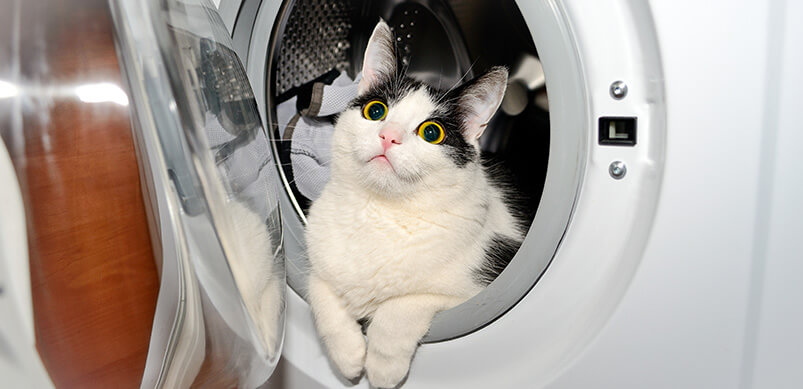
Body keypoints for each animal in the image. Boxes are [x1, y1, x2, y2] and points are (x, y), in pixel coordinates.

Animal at [304, 21, 524, 388]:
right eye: (375, 111)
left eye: (431, 133)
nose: (388, 136)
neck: (379, 211)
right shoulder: (321, 252)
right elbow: (316, 285)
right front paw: (347, 355)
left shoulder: (476, 289)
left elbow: (402, 305)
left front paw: (382, 367)